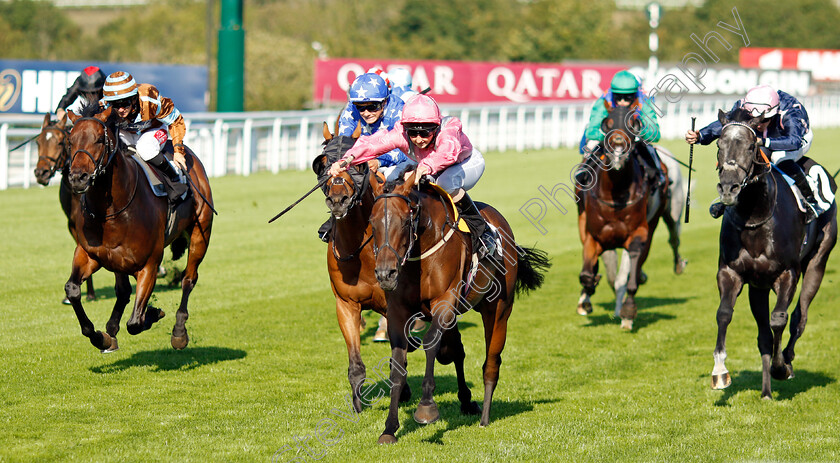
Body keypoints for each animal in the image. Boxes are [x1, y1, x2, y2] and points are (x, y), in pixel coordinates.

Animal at [64, 104, 215, 352]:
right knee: (123, 291)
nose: (78, 178)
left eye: (99, 139)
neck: (113, 210)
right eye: (70, 141)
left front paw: (153, 313)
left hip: (200, 235)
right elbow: (73, 290)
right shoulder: (89, 254)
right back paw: (111, 331)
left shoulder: (149, 265)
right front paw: (100, 336)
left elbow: (135, 322)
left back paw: (179, 332)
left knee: (188, 278)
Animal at [708, 108, 832, 398]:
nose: (728, 189)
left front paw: (781, 367)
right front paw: (720, 371)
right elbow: (724, 313)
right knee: (764, 335)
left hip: (818, 262)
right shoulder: (731, 272)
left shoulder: (787, 273)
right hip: (759, 287)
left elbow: (779, 319)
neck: (756, 215)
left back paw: (786, 359)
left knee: (799, 317)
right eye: (719, 145)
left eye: (751, 146)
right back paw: (766, 392)